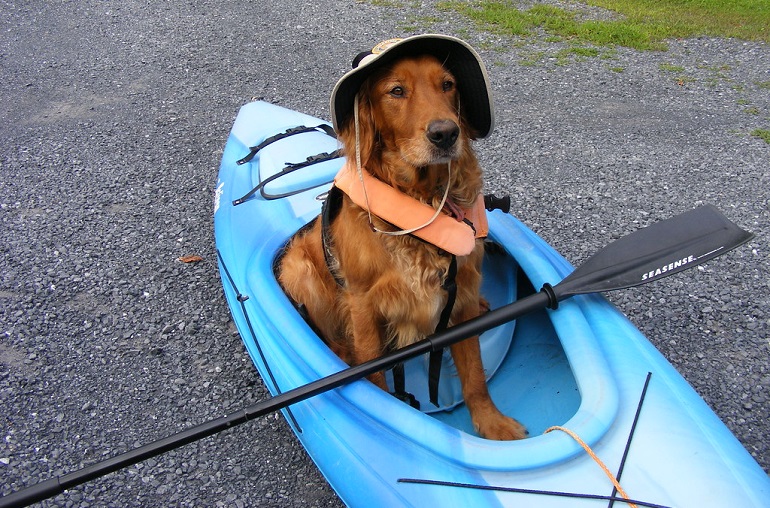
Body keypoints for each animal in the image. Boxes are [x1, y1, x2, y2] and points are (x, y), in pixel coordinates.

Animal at [276, 39, 520, 440]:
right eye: (396, 91)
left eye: (448, 85)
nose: (445, 134)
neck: (423, 200)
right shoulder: (363, 304)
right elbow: (374, 373)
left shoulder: (461, 297)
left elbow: (473, 373)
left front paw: (491, 422)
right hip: (301, 272)